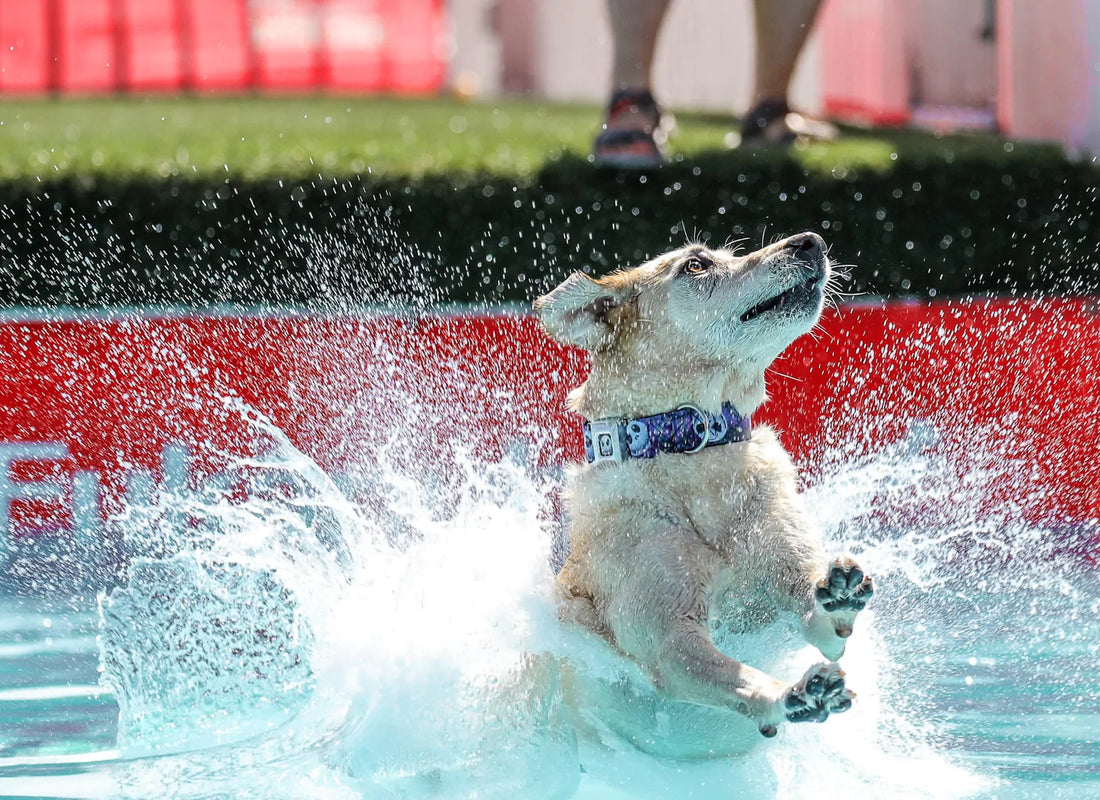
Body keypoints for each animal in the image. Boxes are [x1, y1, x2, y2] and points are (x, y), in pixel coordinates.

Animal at [536, 231, 871, 743]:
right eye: (695, 265)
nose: (810, 241)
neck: (692, 455)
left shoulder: (792, 573)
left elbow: (824, 623)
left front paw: (840, 593)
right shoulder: (671, 639)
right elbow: (739, 677)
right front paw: (787, 695)